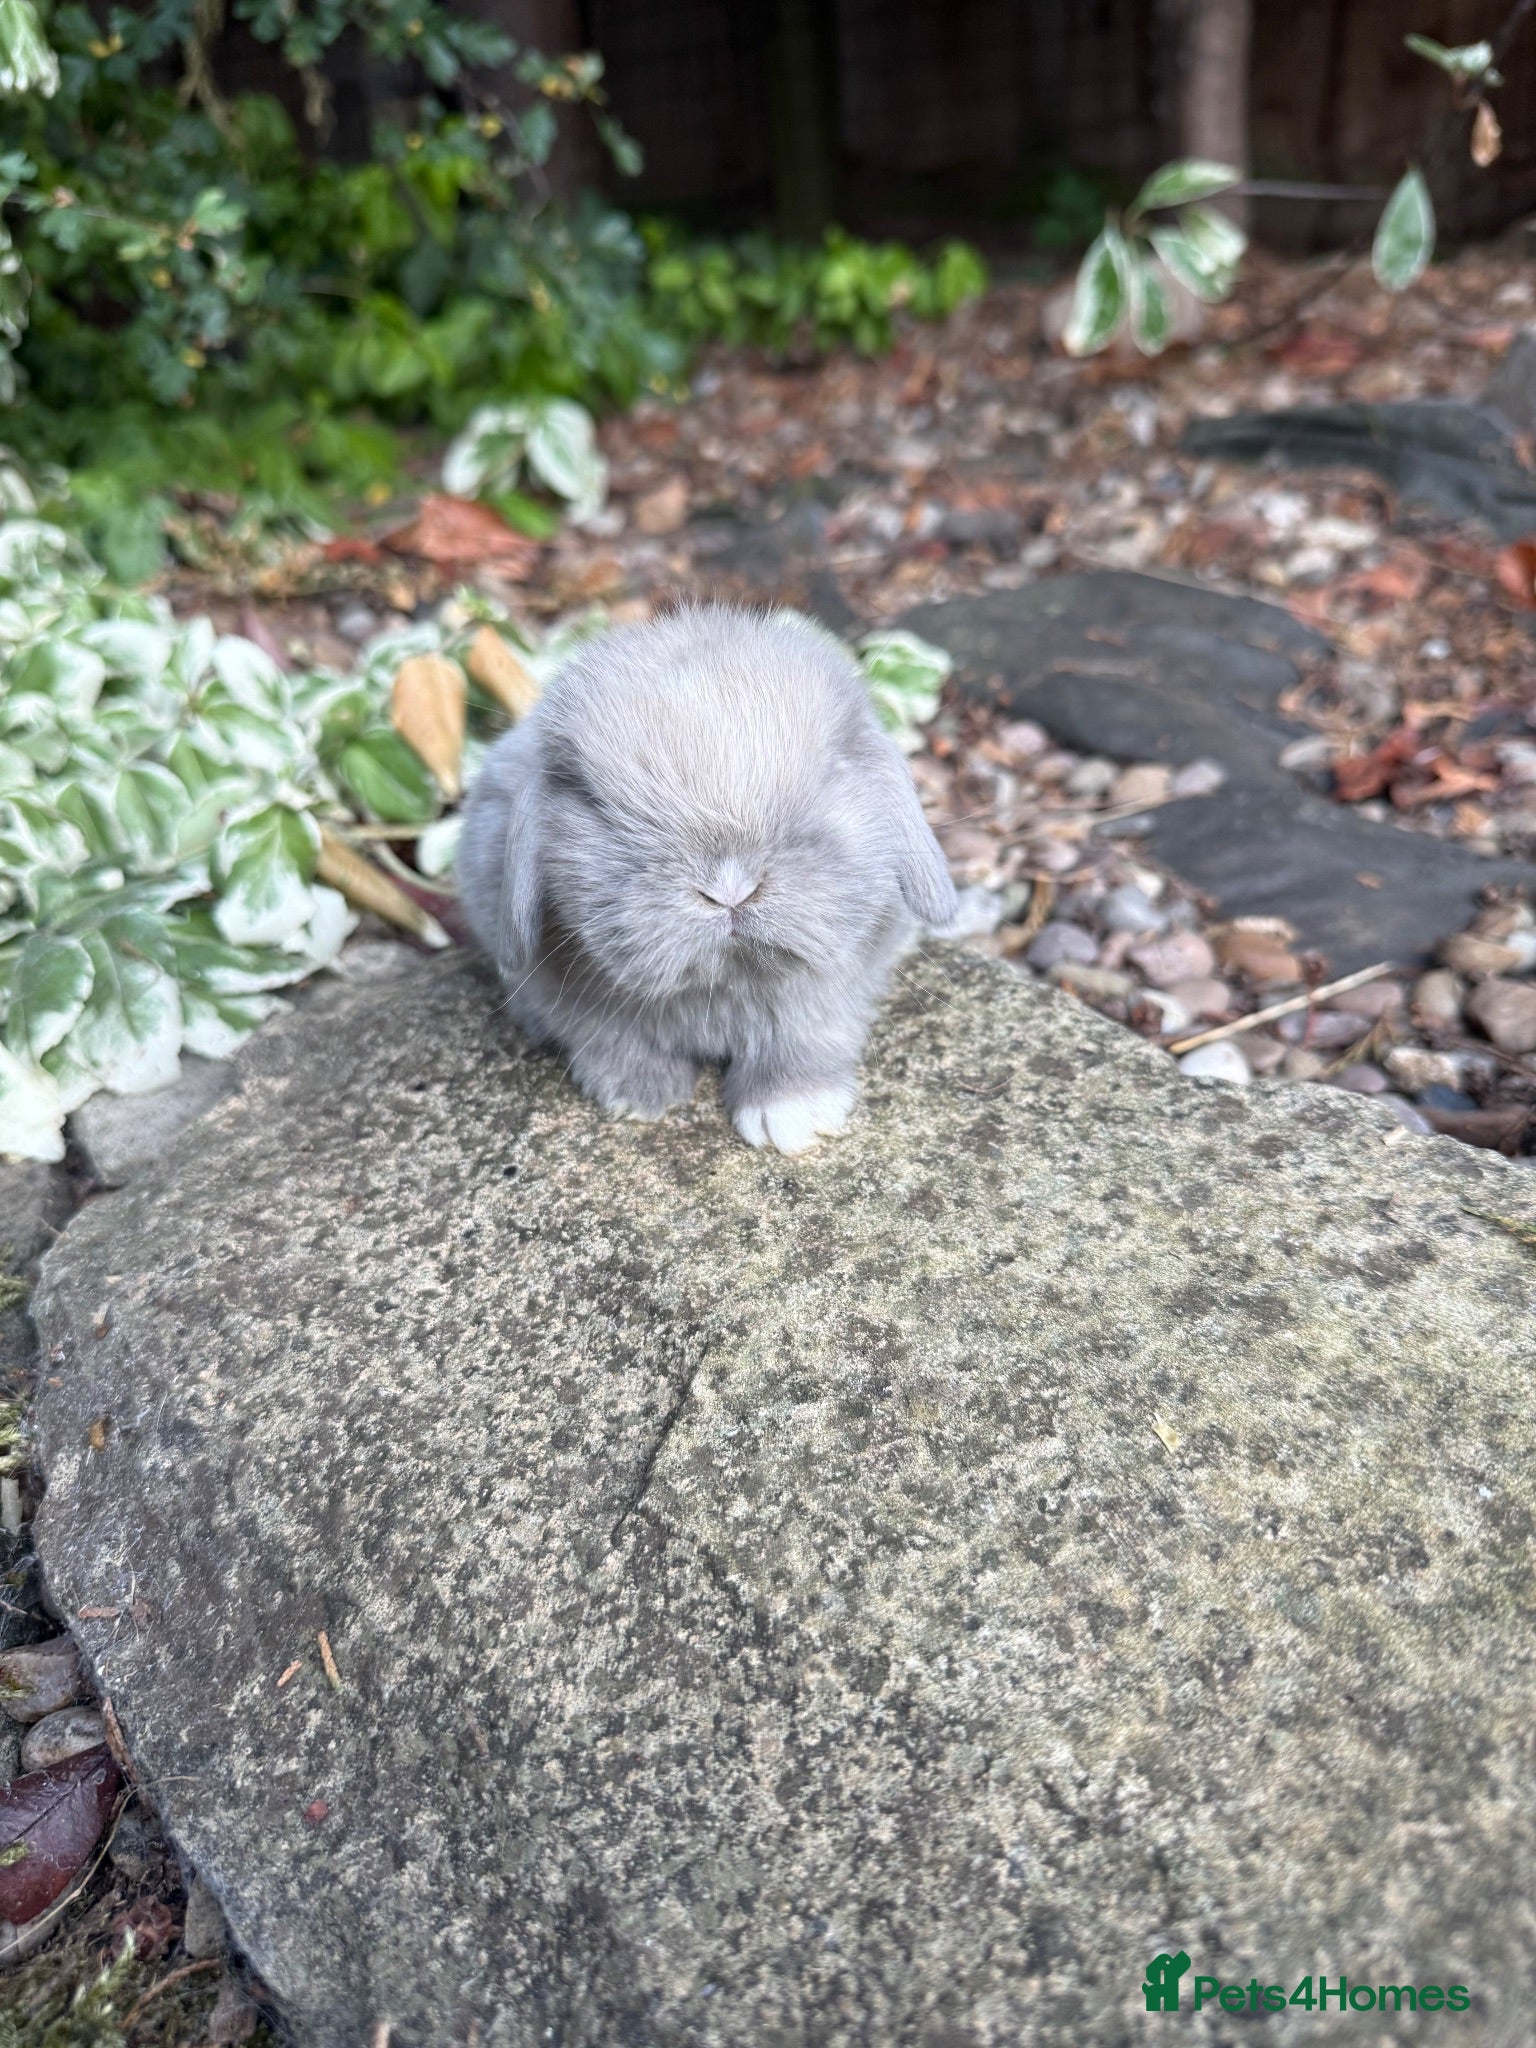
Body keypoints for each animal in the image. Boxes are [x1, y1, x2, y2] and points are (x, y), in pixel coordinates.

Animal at [457, 602, 957, 1154]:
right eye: (594, 803)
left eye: (830, 774)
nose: (729, 890)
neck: (723, 980)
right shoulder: (568, 1000)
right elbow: (607, 1038)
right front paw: (641, 1097)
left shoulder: (831, 997)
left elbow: (805, 1038)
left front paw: (790, 1116)